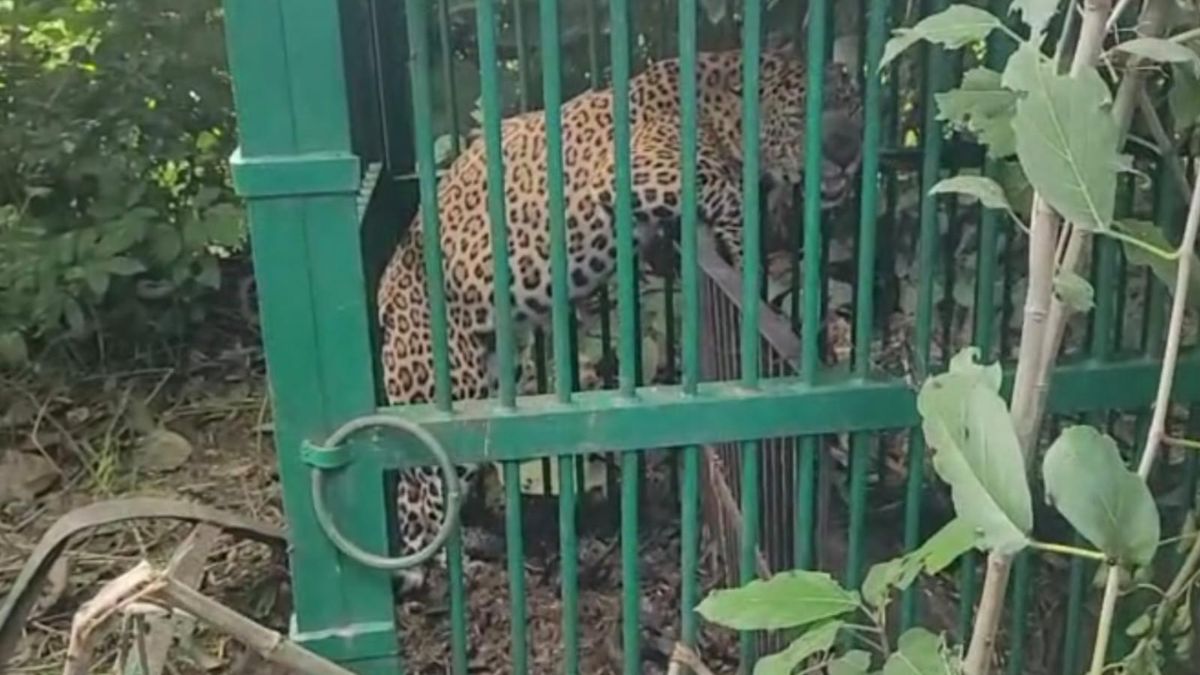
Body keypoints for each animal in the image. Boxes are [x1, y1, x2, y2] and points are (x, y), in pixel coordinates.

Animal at [376, 40, 864, 592]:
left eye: (854, 106)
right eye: (802, 114)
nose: (848, 155)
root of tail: (386, 292)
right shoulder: (634, 169)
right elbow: (722, 189)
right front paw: (747, 242)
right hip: (447, 381)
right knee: (420, 488)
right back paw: (430, 569)